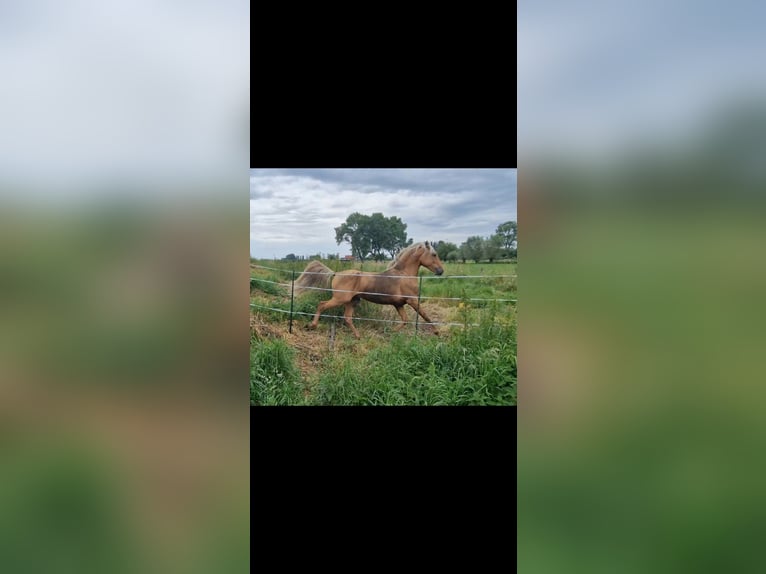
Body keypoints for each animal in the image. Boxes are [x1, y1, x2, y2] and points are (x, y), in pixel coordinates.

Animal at [296, 242, 448, 340]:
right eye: (434, 254)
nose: (440, 271)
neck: (404, 274)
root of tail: (336, 273)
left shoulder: (399, 304)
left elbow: (405, 320)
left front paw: (388, 332)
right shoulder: (412, 301)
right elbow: (425, 316)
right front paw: (437, 333)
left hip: (352, 301)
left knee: (347, 318)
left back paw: (358, 336)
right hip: (341, 299)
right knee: (322, 305)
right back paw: (312, 325)